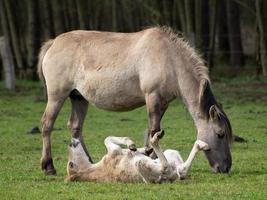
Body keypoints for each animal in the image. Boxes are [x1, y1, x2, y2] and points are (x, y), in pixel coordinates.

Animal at [37, 27, 232, 175]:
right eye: (220, 134)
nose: (225, 167)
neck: (168, 57)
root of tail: (53, 43)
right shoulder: (152, 97)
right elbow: (154, 130)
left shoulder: (163, 103)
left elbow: (152, 131)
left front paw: (149, 156)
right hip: (57, 96)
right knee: (47, 124)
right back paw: (48, 167)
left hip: (79, 98)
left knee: (75, 127)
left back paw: (87, 160)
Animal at [66, 130, 209, 184]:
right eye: (70, 164)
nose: (71, 141)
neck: (92, 169)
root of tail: (173, 177)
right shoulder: (114, 152)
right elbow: (107, 139)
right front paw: (135, 146)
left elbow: (108, 138)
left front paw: (137, 148)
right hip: (142, 165)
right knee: (166, 167)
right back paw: (155, 139)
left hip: (171, 153)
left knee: (182, 169)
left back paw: (202, 144)